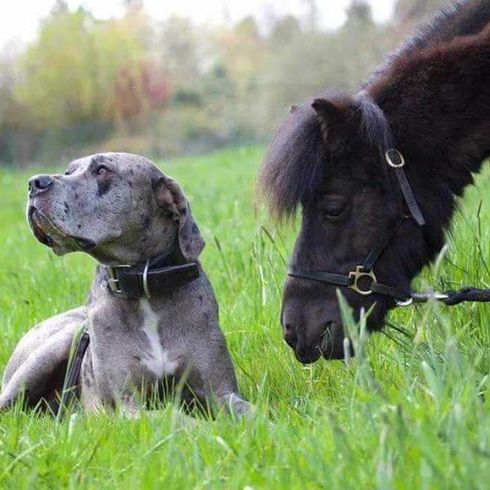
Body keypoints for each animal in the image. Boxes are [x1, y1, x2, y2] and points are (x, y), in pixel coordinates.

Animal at [0, 150, 251, 418]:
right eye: (68, 171)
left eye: (102, 170)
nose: (34, 182)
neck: (143, 284)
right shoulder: (128, 404)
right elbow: (175, 418)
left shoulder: (222, 392)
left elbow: (252, 412)